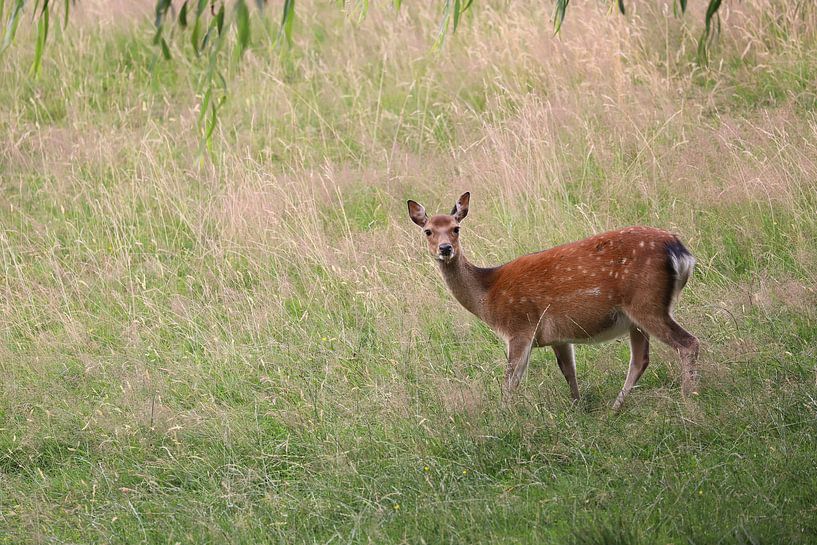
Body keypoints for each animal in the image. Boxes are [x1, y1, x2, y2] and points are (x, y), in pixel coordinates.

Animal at [407, 192, 699, 410]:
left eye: (456, 229)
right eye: (428, 231)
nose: (446, 248)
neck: (487, 295)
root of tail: (681, 252)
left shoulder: (520, 327)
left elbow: (510, 381)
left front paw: (504, 416)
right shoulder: (558, 336)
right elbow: (569, 372)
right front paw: (577, 409)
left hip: (647, 302)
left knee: (688, 343)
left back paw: (689, 399)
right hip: (635, 317)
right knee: (640, 360)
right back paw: (615, 408)